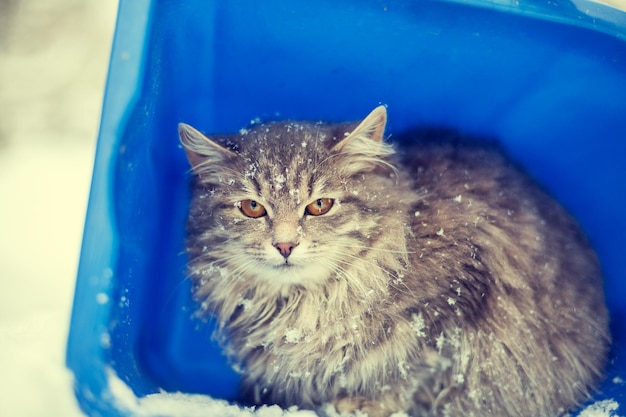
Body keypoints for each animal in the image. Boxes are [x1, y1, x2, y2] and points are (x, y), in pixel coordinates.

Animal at [178, 106, 608, 416]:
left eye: (319, 206)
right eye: (252, 208)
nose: (285, 245)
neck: (304, 305)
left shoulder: (451, 310)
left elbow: (409, 373)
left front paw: (364, 405)